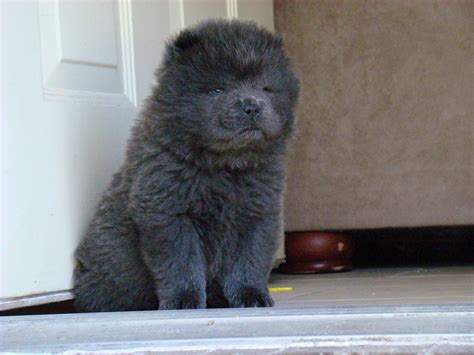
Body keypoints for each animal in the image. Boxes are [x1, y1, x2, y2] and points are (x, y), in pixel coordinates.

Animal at [72, 19, 298, 312]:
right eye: (217, 89)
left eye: (265, 88)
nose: (251, 106)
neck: (225, 167)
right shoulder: (168, 212)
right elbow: (181, 262)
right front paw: (183, 301)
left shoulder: (259, 213)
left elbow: (250, 260)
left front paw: (252, 296)